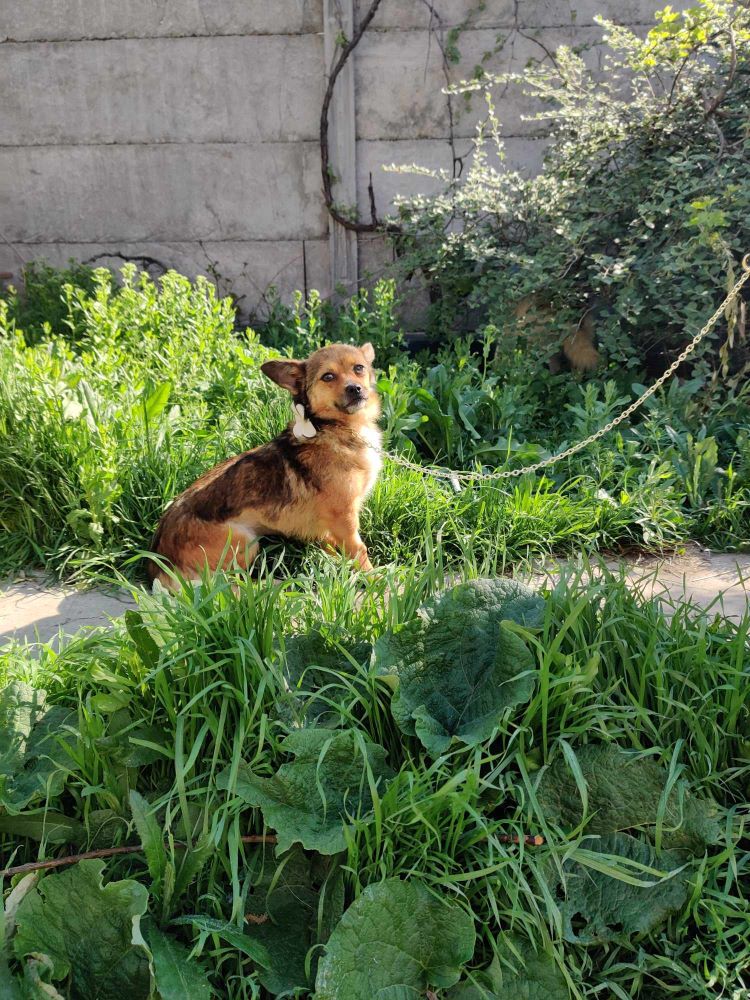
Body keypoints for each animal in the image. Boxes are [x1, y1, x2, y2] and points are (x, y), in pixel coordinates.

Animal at [148, 344, 382, 584]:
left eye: (359, 368)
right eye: (328, 376)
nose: (355, 388)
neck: (334, 427)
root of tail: (161, 567)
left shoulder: (330, 524)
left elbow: (333, 544)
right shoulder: (344, 516)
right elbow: (359, 550)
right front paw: (377, 581)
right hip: (245, 542)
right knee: (231, 584)